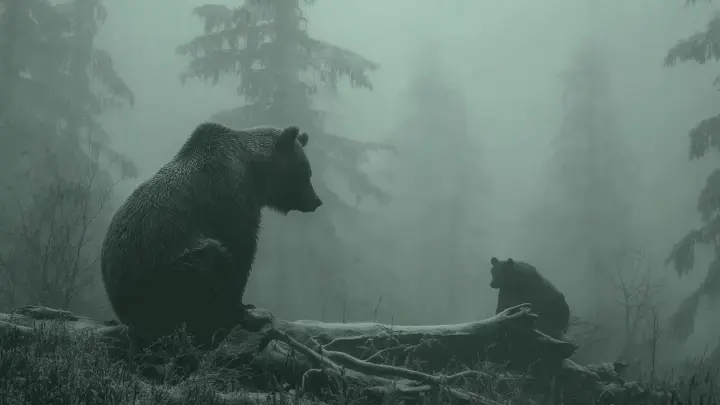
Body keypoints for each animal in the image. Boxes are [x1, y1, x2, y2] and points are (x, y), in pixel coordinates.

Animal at [100, 122, 322, 348]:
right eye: (306, 172)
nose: (316, 201)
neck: (252, 169)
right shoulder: (230, 199)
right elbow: (240, 250)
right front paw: (246, 311)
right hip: (161, 273)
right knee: (209, 262)